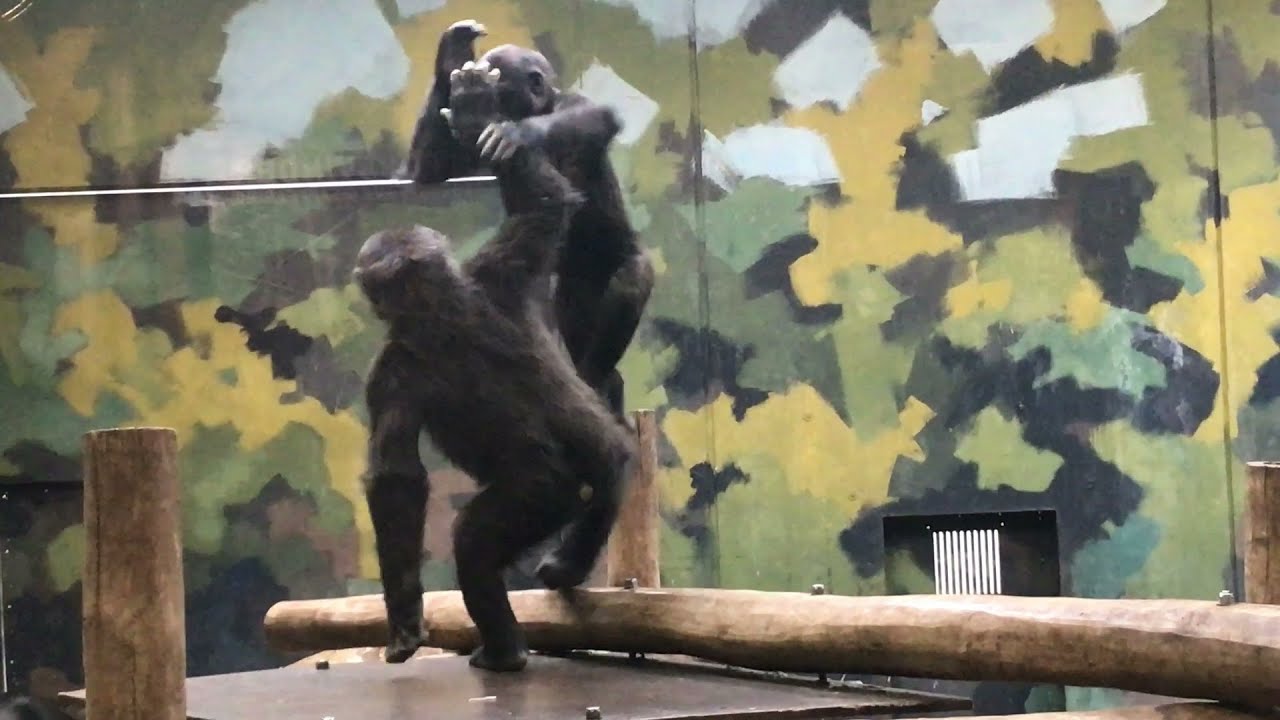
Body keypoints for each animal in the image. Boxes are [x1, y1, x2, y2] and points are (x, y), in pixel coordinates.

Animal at [357, 60, 635, 672]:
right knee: (613, 466)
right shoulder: (504, 264)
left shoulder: (390, 370)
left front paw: (405, 618)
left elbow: (396, 479)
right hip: (589, 469)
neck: (442, 304)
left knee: (474, 545)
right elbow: (544, 205)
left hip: (537, 497)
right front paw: (477, 111)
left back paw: (502, 651)